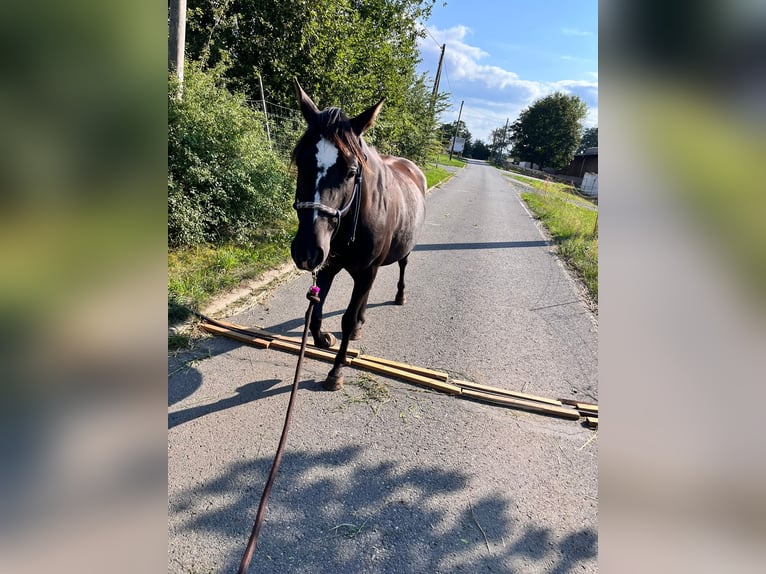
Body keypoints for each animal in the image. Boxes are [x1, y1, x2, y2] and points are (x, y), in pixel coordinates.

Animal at [292, 82, 428, 392]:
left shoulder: (366, 270)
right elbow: (315, 312)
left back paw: (399, 296)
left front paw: (336, 370)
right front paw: (322, 338)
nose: (306, 251)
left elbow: (346, 318)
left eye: (351, 171)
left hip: (400, 254)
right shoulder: (328, 266)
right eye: (300, 162)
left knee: (401, 267)